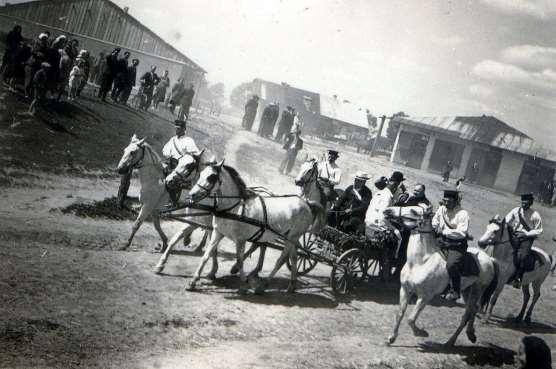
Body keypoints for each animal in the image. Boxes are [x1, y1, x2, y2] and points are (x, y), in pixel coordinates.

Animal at [187, 161, 326, 294]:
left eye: (211, 177)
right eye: (200, 174)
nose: (191, 195)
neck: (235, 208)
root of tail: (306, 203)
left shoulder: (240, 240)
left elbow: (240, 260)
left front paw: (243, 286)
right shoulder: (218, 233)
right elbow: (206, 256)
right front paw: (193, 281)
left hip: (291, 237)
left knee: (281, 260)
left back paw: (263, 286)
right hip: (291, 237)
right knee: (294, 257)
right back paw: (291, 285)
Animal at [386, 206, 500, 346]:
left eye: (413, 211)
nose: (388, 211)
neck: (420, 262)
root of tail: (489, 259)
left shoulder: (425, 297)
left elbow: (411, 319)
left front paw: (421, 333)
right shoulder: (405, 290)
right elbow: (400, 314)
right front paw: (392, 338)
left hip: (477, 290)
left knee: (468, 313)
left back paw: (451, 341)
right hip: (466, 290)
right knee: (473, 309)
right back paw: (470, 334)